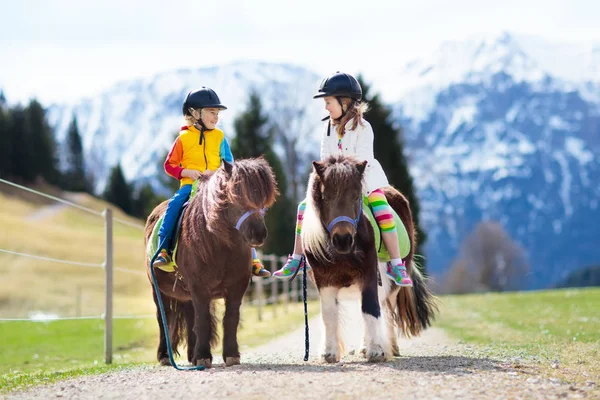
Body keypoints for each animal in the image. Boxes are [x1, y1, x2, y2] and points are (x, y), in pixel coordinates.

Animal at [144, 158, 278, 368]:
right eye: (236, 194)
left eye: (263, 199)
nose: (258, 234)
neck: (221, 247)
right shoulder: (199, 287)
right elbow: (203, 319)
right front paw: (203, 356)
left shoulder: (237, 287)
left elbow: (230, 318)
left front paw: (230, 354)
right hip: (158, 289)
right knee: (164, 317)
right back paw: (165, 356)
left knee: (190, 317)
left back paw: (192, 355)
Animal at [302, 155, 438, 362]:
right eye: (325, 197)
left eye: (357, 197)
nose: (343, 239)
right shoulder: (324, 280)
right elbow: (329, 314)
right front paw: (329, 352)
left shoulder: (369, 274)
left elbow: (370, 308)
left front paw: (376, 350)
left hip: (391, 284)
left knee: (387, 310)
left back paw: (389, 347)